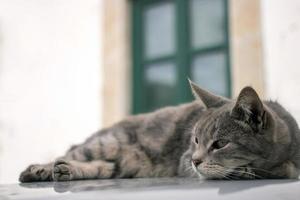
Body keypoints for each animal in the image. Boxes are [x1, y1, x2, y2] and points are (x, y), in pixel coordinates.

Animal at [18, 80, 300, 182]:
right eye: (195, 140)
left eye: (219, 144)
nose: (196, 160)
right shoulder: (184, 161)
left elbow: (285, 169)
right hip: (105, 144)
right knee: (69, 153)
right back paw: (39, 169)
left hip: (124, 164)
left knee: (98, 167)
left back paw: (65, 171)